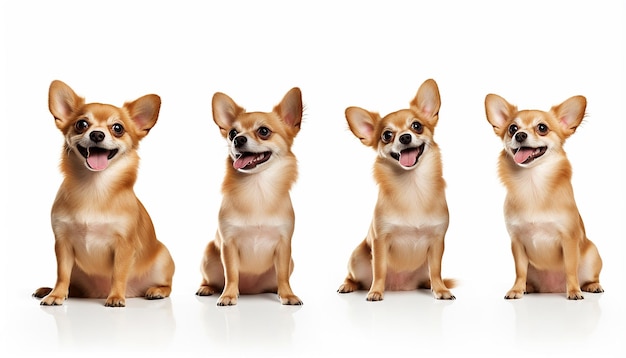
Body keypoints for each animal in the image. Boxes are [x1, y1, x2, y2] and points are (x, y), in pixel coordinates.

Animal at [34, 80, 176, 308]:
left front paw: (116, 297)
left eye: (118, 128)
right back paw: (49, 290)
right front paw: (56, 295)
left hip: (163, 258)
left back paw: (155, 291)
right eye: (81, 124)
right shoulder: (62, 243)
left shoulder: (124, 245)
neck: (94, 188)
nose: (97, 134)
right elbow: (62, 273)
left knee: (167, 285)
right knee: (71, 284)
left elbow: (119, 273)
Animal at [195, 86, 302, 304]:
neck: (257, 188)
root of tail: (250, 291)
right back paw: (207, 288)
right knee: (211, 279)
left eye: (264, 131)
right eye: (232, 133)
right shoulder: (228, 244)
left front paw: (288, 294)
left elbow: (283, 274)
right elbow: (231, 273)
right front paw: (228, 295)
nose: (238, 139)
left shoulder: (284, 245)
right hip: (209, 255)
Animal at [336, 79, 454, 300]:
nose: (405, 137)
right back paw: (348, 285)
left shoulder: (437, 242)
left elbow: (436, 270)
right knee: (353, 276)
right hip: (357, 257)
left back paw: (429, 285)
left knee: (429, 274)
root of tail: (399, 287)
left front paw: (441, 290)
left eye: (417, 126)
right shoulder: (380, 240)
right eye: (387, 135)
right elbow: (379, 269)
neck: (412, 186)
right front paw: (375, 291)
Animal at [482, 93, 600, 300]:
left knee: (588, 276)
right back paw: (527, 287)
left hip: (593, 253)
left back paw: (591, 286)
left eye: (542, 128)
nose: (520, 135)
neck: (533, 184)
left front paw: (574, 291)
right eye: (512, 128)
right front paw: (516, 289)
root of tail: (552, 289)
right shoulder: (517, 242)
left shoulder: (569, 239)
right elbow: (519, 270)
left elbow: (571, 268)